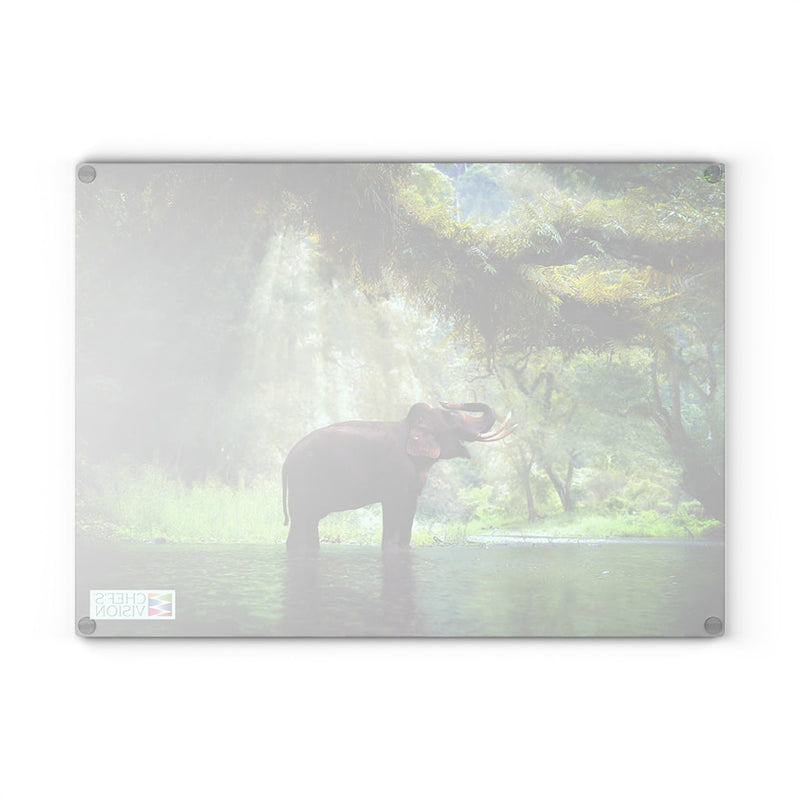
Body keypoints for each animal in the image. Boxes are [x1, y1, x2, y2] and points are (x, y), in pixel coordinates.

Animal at [281, 401, 515, 550]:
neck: (410, 424)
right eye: (454, 421)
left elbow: (409, 507)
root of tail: (287, 459)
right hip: (304, 480)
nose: (447, 401)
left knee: (308, 522)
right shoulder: (397, 469)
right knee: (302, 521)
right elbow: (396, 506)